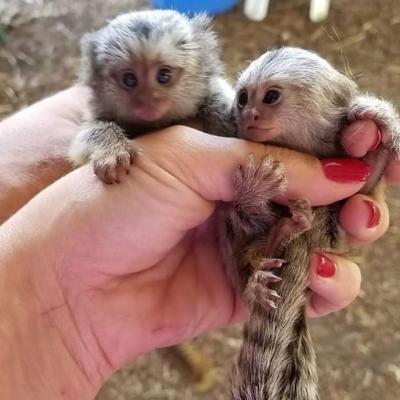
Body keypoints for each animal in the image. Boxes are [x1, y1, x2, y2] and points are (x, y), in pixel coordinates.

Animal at [220, 48, 398, 398]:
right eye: (243, 98)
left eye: (270, 97)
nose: (249, 116)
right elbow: (242, 217)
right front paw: (252, 194)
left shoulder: (339, 217)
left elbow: (361, 186)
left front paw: (380, 124)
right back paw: (271, 248)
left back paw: (289, 229)